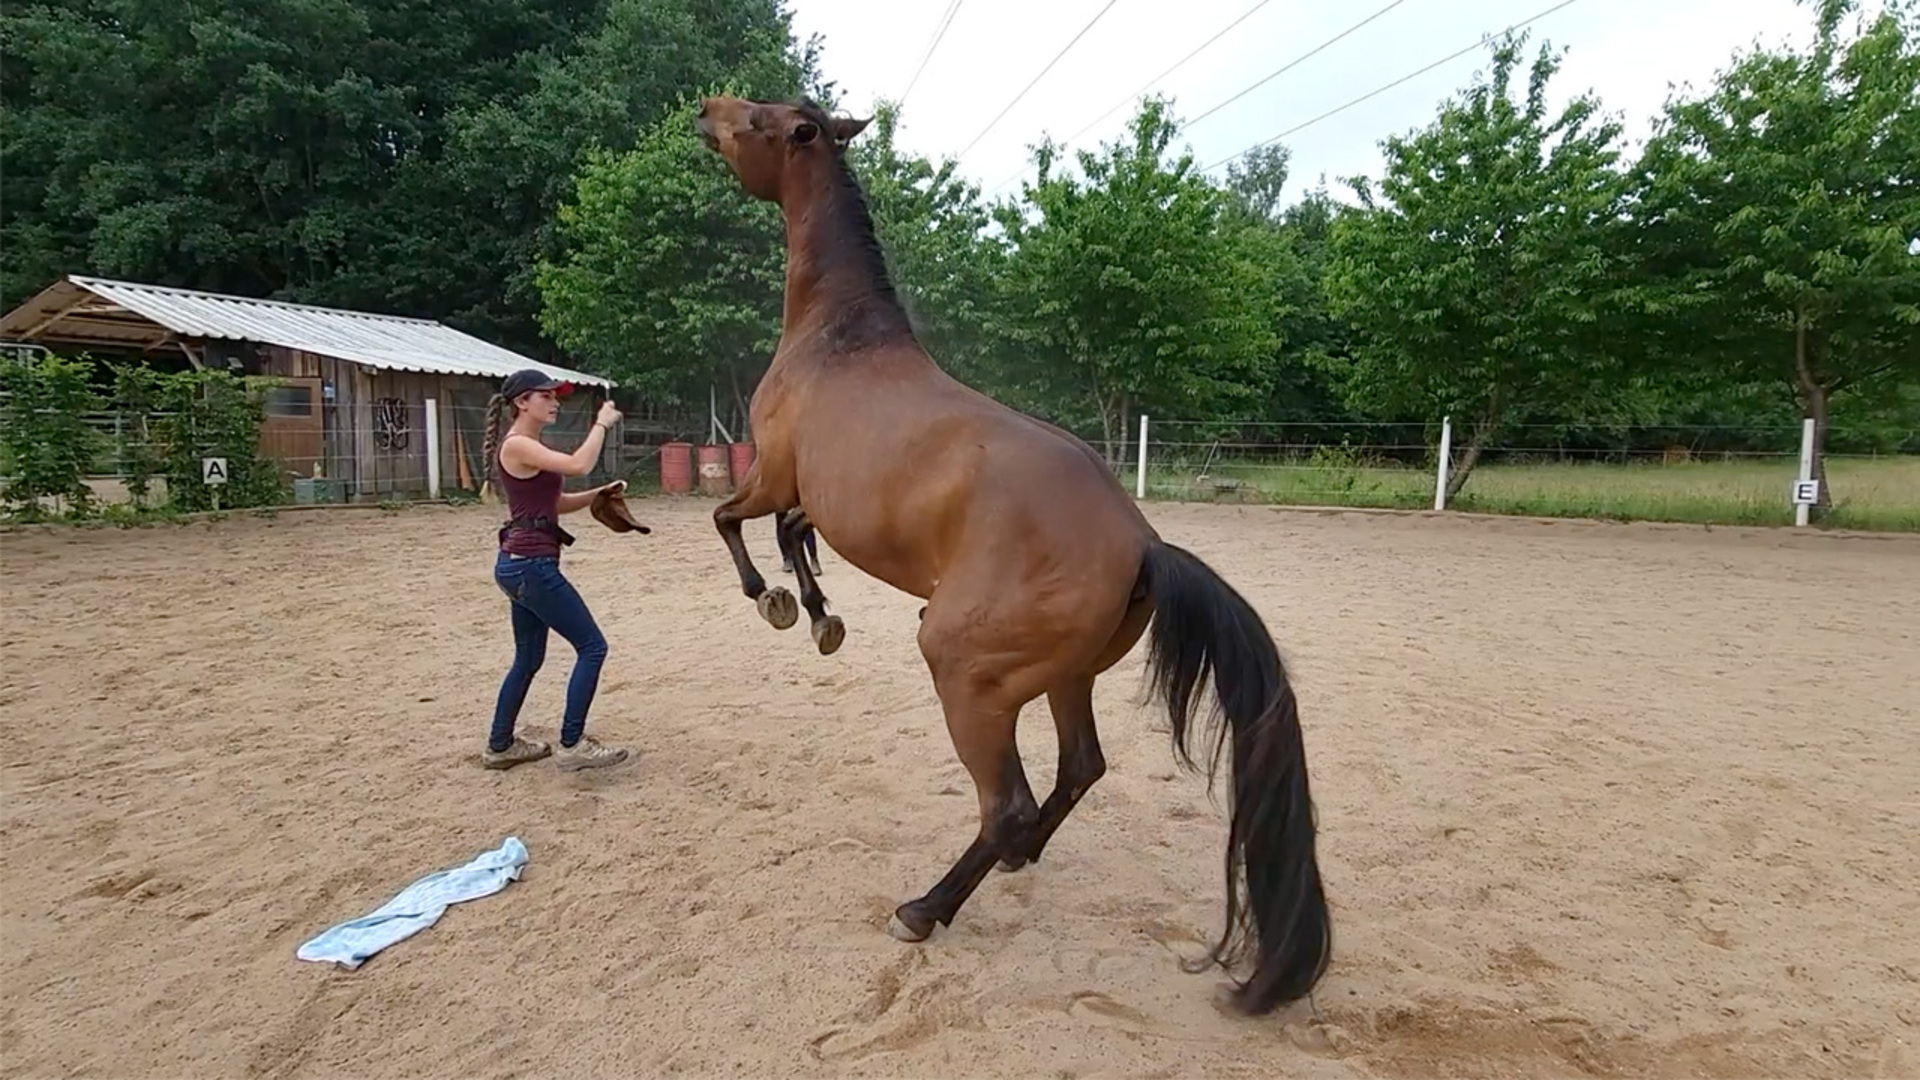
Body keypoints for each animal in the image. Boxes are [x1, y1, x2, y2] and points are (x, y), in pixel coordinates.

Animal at [694, 95, 1331, 1015]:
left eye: (762, 119)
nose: (705, 109)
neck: (837, 337)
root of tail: (1145, 544)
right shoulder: (806, 498)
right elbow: (790, 536)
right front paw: (818, 616)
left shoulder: (771, 472)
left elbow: (731, 521)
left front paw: (777, 604)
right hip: (1065, 679)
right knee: (1076, 772)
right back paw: (1021, 857)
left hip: (967, 674)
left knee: (1006, 804)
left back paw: (924, 910)